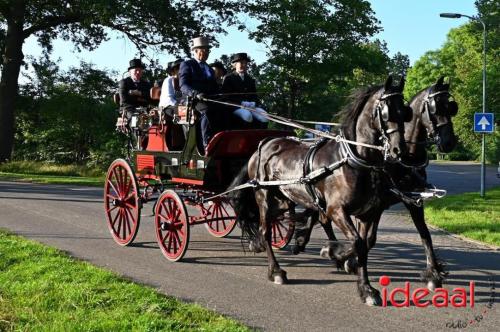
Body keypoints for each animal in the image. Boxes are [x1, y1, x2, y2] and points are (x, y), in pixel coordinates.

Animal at [230, 76, 410, 304]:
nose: (399, 150)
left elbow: (365, 244)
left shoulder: (368, 213)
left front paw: (366, 288)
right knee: (265, 231)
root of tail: (263, 144)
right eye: (386, 112)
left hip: (284, 198)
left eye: (405, 111)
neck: (352, 160)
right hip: (264, 196)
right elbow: (357, 243)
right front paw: (333, 252)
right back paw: (276, 270)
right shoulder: (336, 209)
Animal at [300, 75, 458, 290]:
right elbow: (368, 239)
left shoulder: (412, 201)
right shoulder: (380, 204)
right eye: (435, 108)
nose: (449, 142)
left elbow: (424, 233)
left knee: (320, 216)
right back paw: (311, 244)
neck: (405, 161)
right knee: (320, 216)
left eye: (450, 107)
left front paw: (433, 273)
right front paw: (349, 260)